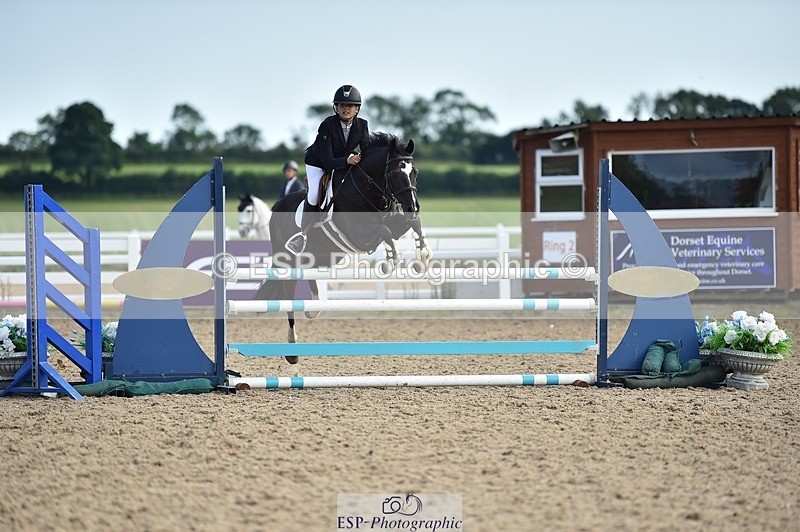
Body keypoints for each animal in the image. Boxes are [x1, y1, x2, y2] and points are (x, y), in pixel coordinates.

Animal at [254, 132, 433, 361]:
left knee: (309, 277)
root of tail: (277, 206)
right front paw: (390, 261)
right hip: (287, 261)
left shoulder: (395, 223)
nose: (413, 207)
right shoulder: (359, 234)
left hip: (317, 257)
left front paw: (423, 257)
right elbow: (385, 232)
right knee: (288, 297)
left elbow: (411, 225)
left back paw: (314, 307)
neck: (369, 188)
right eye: (393, 173)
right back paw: (292, 350)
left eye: (414, 172)